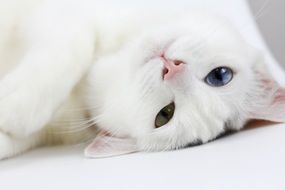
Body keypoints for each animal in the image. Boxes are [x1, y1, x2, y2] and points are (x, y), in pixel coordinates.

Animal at [0, 0, 284, 160]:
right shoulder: (66, 15)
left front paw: (10, 111)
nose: (172, 68)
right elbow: (75, 46)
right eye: (221, 75)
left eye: (165, 115)